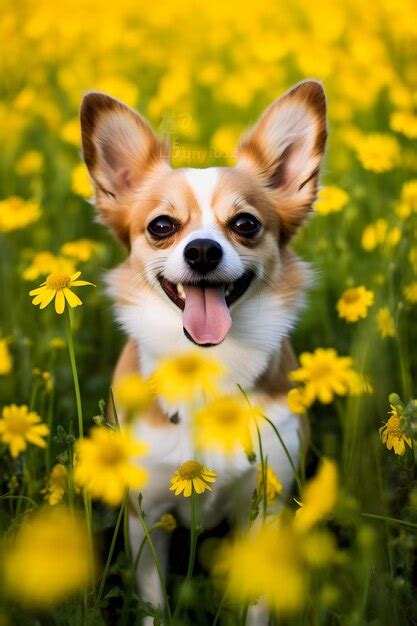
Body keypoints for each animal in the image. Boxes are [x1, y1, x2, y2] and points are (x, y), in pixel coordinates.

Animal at [79, 80, 326, 620]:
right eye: (162, 226)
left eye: (246, 224)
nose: (203, 251)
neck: (206, 367)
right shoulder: (146, 517)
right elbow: (154, 601)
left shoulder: (266, 503)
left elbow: (257, 605)